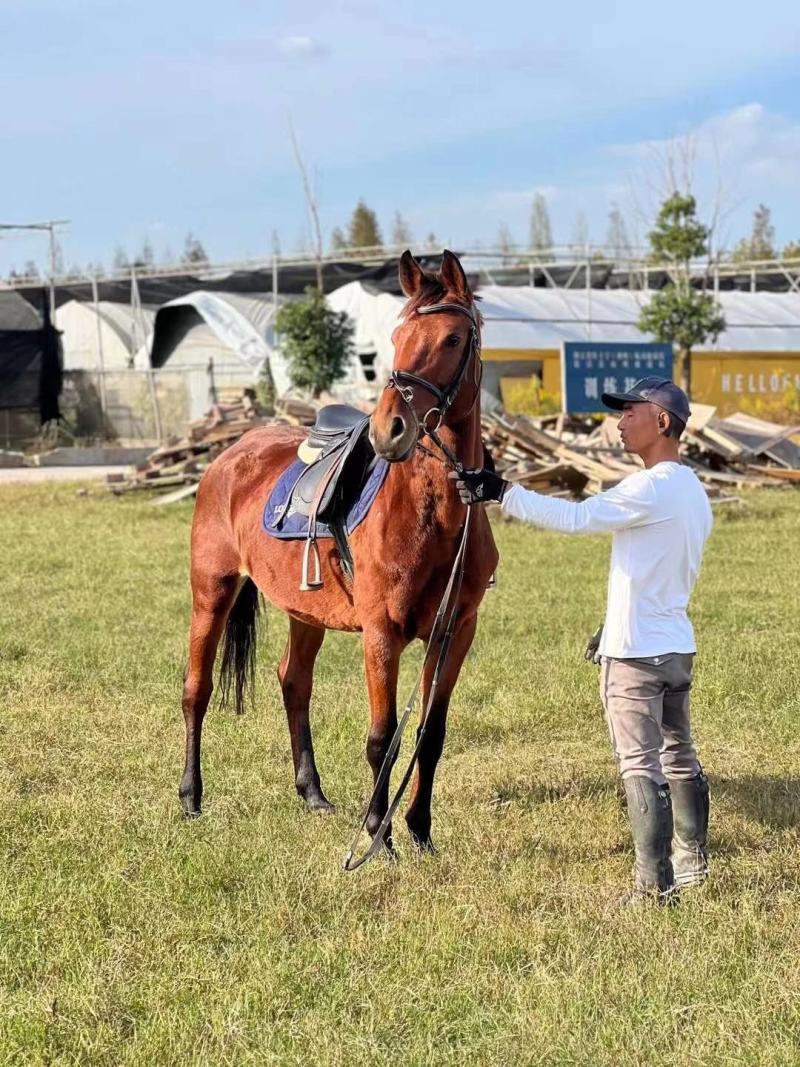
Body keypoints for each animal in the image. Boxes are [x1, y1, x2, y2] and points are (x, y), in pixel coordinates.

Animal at [178, 249, 499, 853]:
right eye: (396, 336)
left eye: (451, 338)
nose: (389, 429)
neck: (435, 514)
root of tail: (230, 455)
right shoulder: (381, 632)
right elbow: (382, 738)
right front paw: (379, 836)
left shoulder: (455, 632)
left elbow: (429, 734)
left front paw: (419, 831)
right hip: (212, 590)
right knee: (196, 689)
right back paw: (190, 797)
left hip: (306, 612)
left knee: (293, 681)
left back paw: (312, 793)